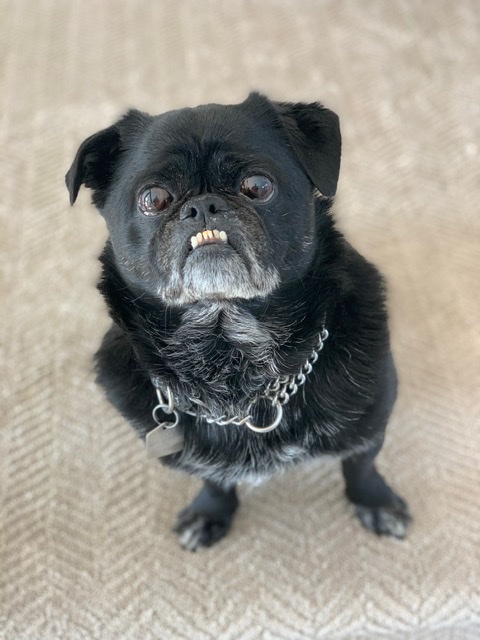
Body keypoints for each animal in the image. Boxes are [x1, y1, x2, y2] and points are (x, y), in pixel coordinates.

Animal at [66, 92, 411, 550]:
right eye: (154, 198)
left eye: (258, 187)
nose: (203, 206)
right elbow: (215, 480)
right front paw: (211, 512)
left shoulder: (371, 420)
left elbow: (361, 465)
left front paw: (375, 502)